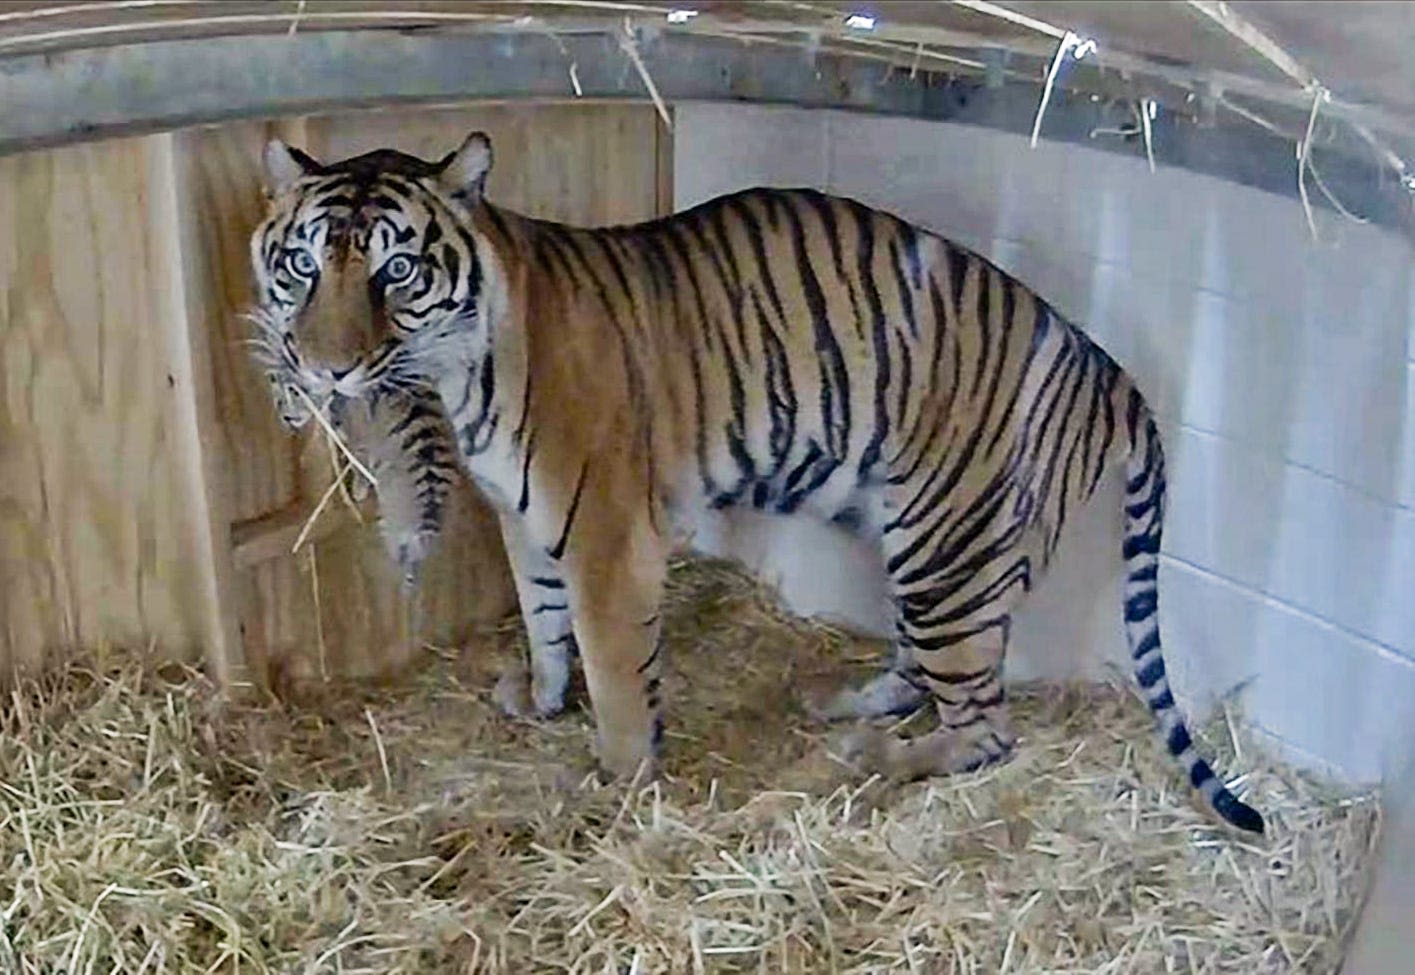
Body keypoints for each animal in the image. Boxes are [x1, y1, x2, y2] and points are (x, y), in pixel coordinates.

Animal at [249, 127, 1267, 826]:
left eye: (396, 271)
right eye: (301, 264)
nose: (325, 370)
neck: (465, 368)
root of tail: (1105, 362)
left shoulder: (606, 536)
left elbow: (614, 667)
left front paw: (619, 780)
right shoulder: (521, 515)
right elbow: (543, 622)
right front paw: (539, 699)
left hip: (951, 544)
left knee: (986, 724)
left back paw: (874, 753)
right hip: (922, 545)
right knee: (931, 671)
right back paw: (843, 701)